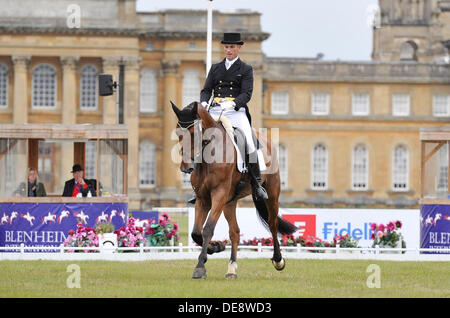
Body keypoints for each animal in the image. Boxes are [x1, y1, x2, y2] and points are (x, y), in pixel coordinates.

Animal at [171, 101, 298, 278]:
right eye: (177, 132)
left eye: (194, 132)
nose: (186, 168)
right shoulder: (203, 199)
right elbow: (196, 232)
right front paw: (215, 247)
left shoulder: (219, 194)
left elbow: (207, 229)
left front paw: (200, 266)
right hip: (230, 202)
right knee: (235, 232)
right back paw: (231, 268)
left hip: (272, 195)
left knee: (272, 224)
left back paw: (278, 260)